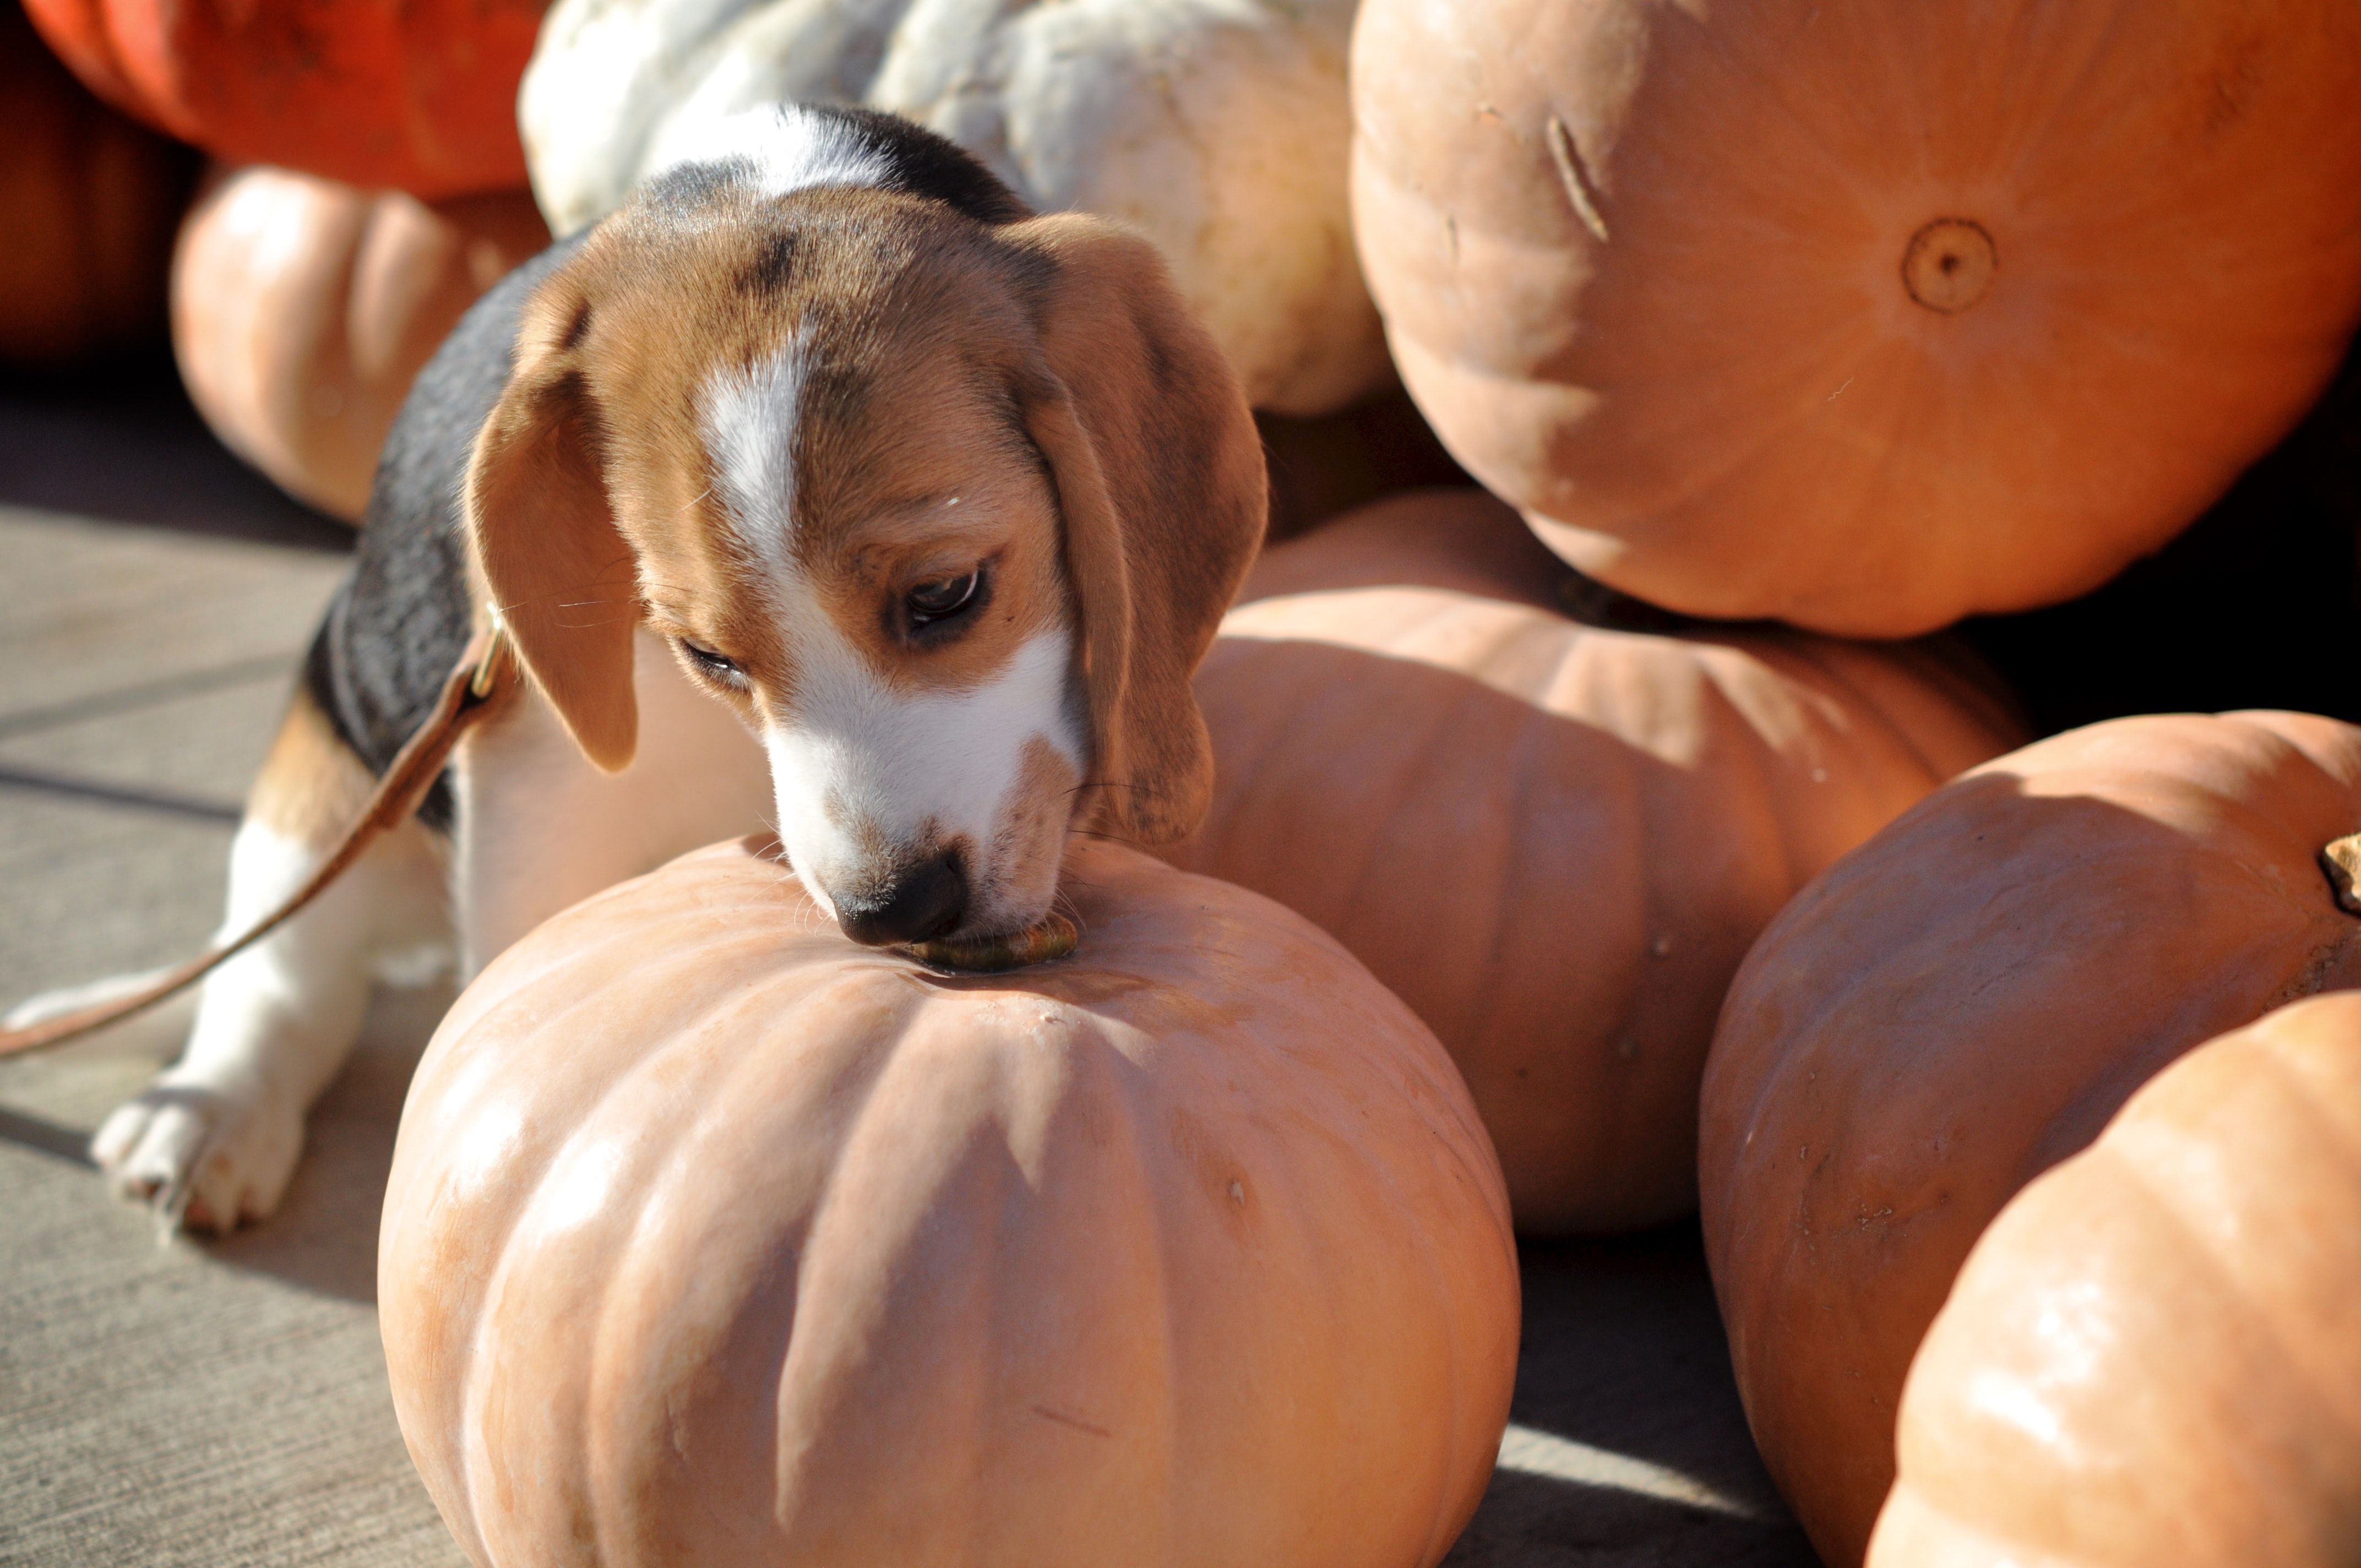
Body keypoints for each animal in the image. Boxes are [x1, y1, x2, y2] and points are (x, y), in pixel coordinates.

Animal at [18, 107, 1275, 1237]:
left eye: (947, 595)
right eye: (707, 655)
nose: (892, 911)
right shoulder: (535, 801)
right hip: (321, 781)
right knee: (282, 984)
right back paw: (210, 1111)